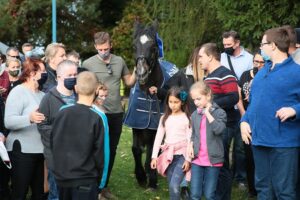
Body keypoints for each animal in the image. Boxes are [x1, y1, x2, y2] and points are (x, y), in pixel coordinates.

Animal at [123, 20, 177, 189]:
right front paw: (140, 176)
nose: (141, 73)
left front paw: (152, 179)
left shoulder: (155, 126)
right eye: (134, 46)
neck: (147, 91)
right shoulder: (137, 124)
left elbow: (153, 147)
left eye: (153, 47)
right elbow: (136, 149)